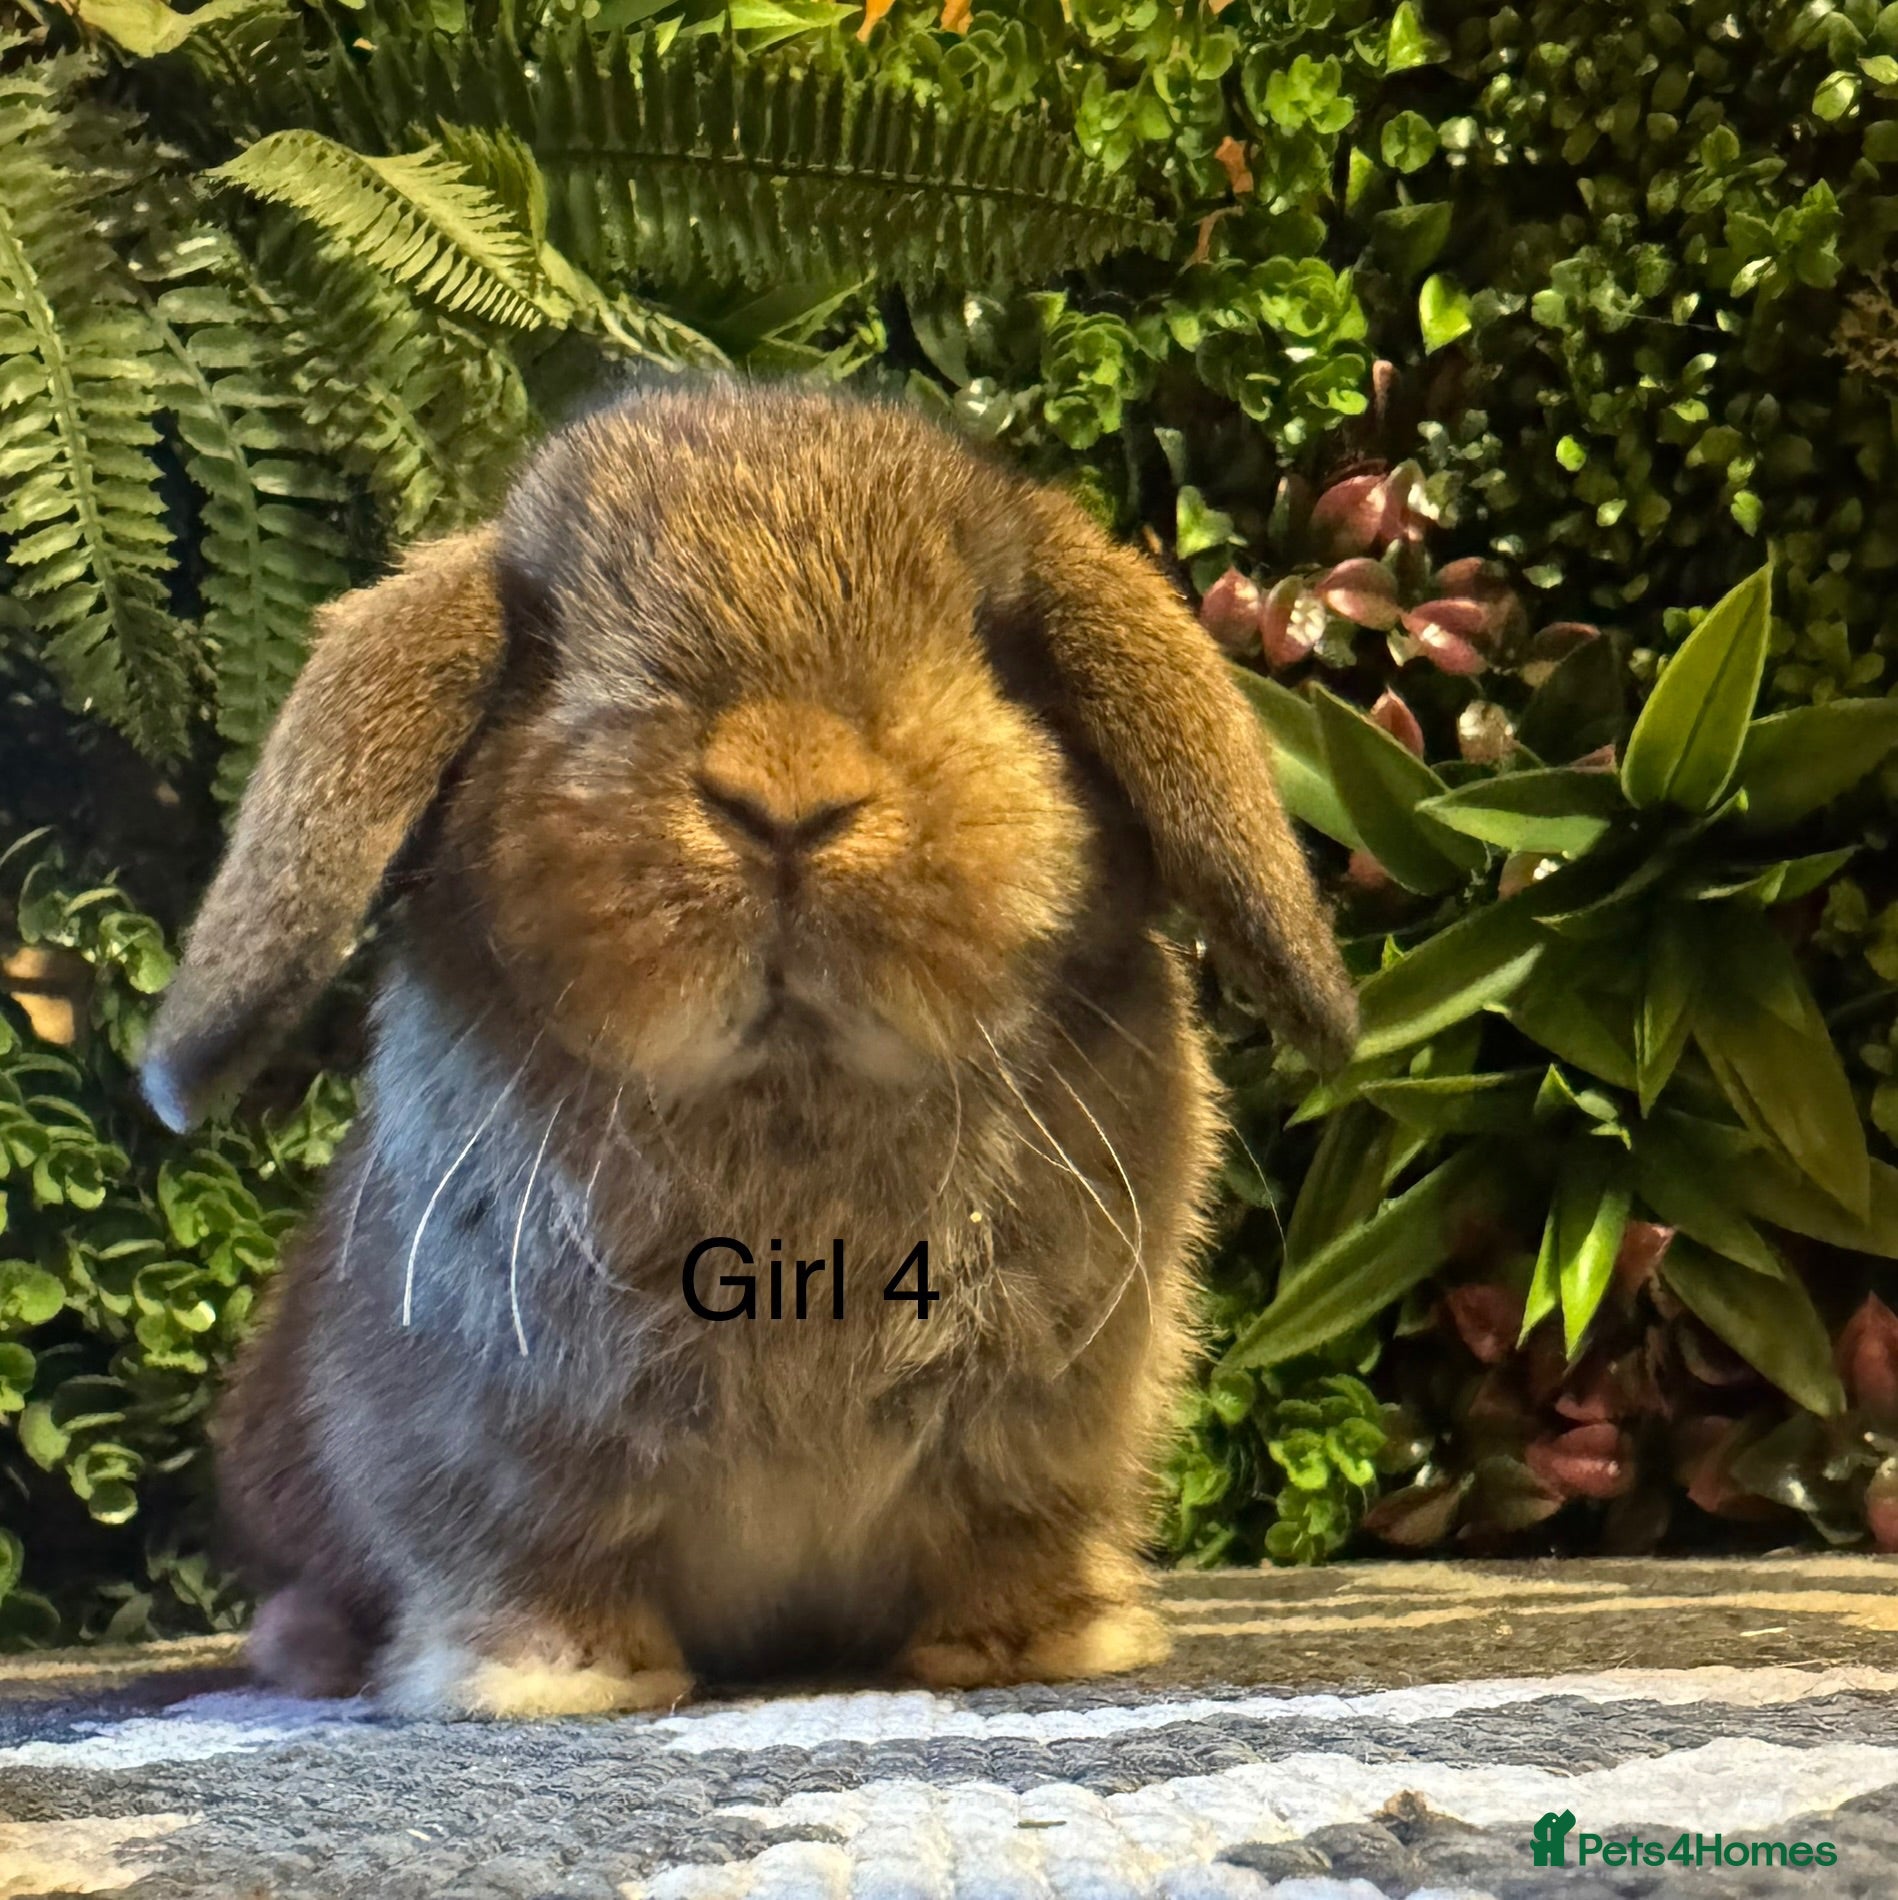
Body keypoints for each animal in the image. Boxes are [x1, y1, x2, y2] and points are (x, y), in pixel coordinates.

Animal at [138, 377, 1358, 1719]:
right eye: (545, 651)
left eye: (999, 647)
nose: (787, 792)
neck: (791, 1091)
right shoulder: (503, 1449)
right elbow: (536, 1562)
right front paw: (556, 1682)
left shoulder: (1039, 1447)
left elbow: (1008, 1541)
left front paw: (1034, 1649)